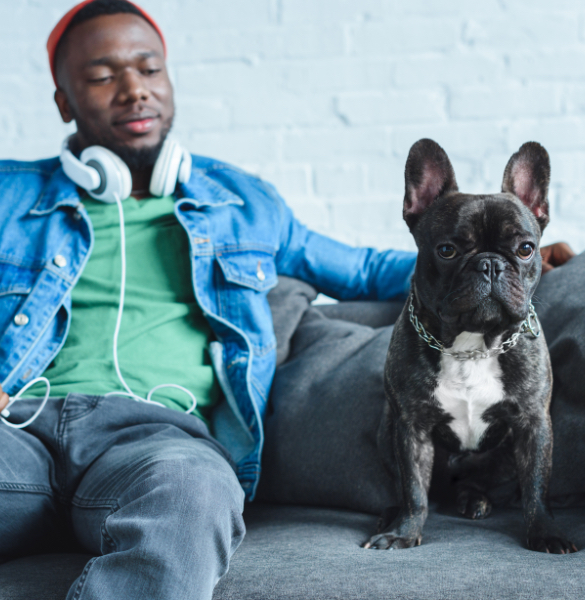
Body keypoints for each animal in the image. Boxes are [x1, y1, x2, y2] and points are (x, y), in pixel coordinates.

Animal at [364, 138, 576, 556]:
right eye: (447, 250)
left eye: (526, 249)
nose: (490, 264)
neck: (473, 345)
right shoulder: (410, 427)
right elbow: (413, 488)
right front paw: (403, 533)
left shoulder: (534, 424)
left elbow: (536, 488)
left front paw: (546, 533)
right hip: (386, 428)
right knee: (404, 485)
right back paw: (392, 515)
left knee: (486, 484)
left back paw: (474, 500)